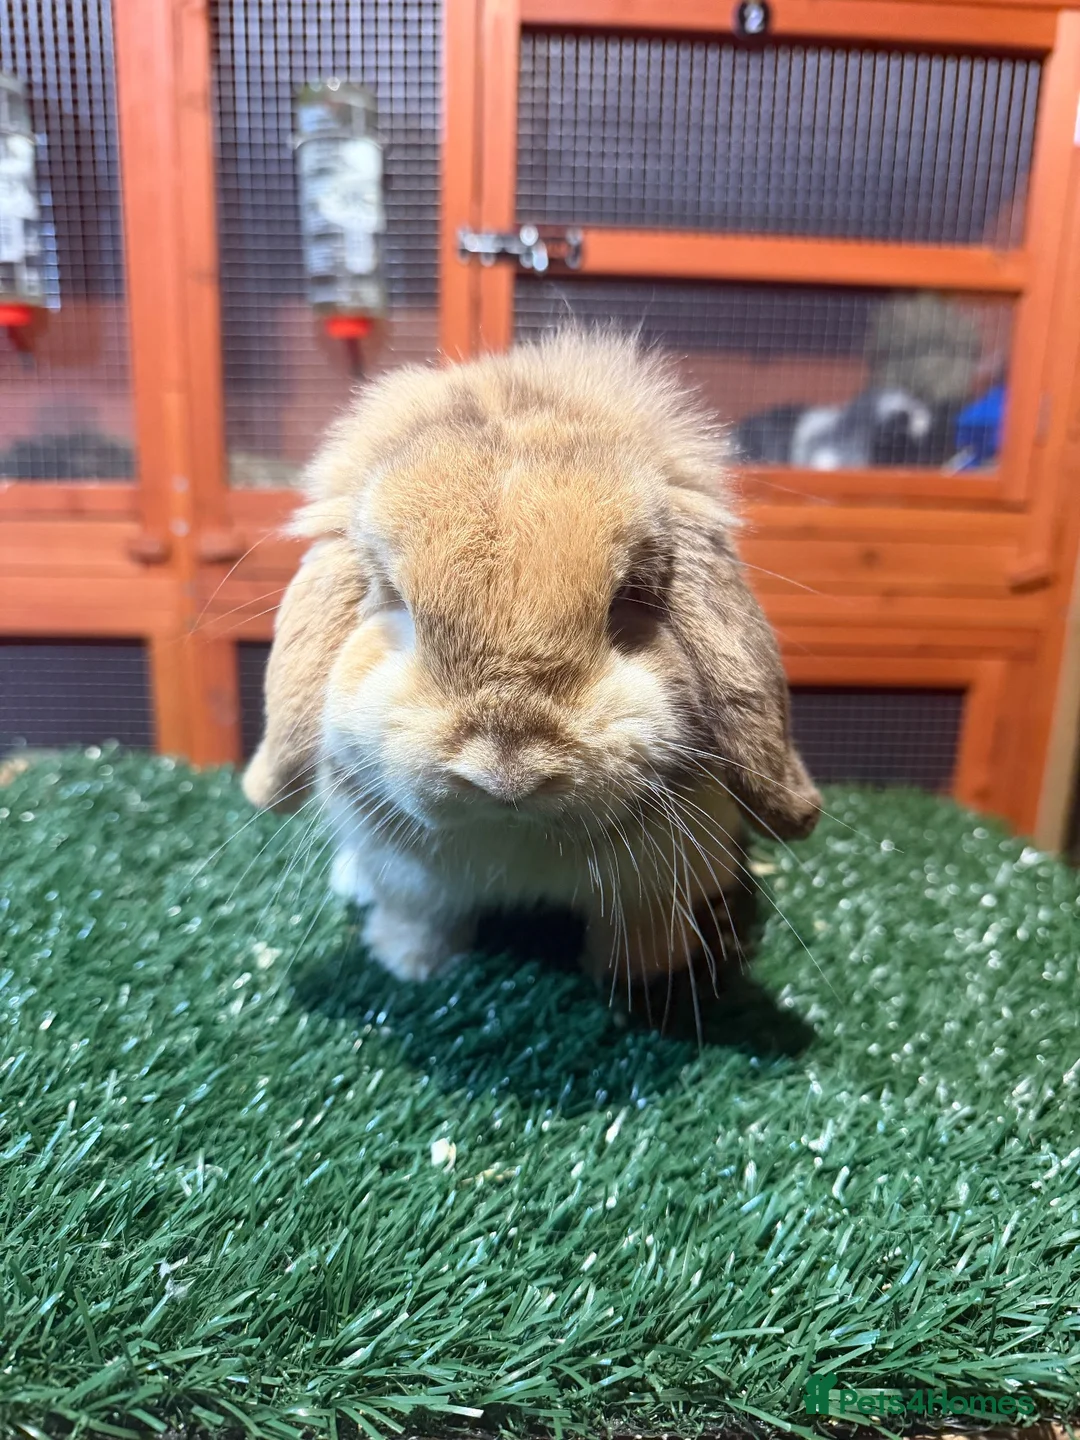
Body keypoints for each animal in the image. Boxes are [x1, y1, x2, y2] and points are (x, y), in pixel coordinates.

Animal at [243, 333, 821, 999]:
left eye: (627, 599)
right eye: (399, 606)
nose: (507, 773)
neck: (516, 834)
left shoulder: (654, 886)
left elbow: (639, 928)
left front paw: (645, 978)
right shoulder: (414, 884)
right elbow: (423, 919)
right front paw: (408, 966)